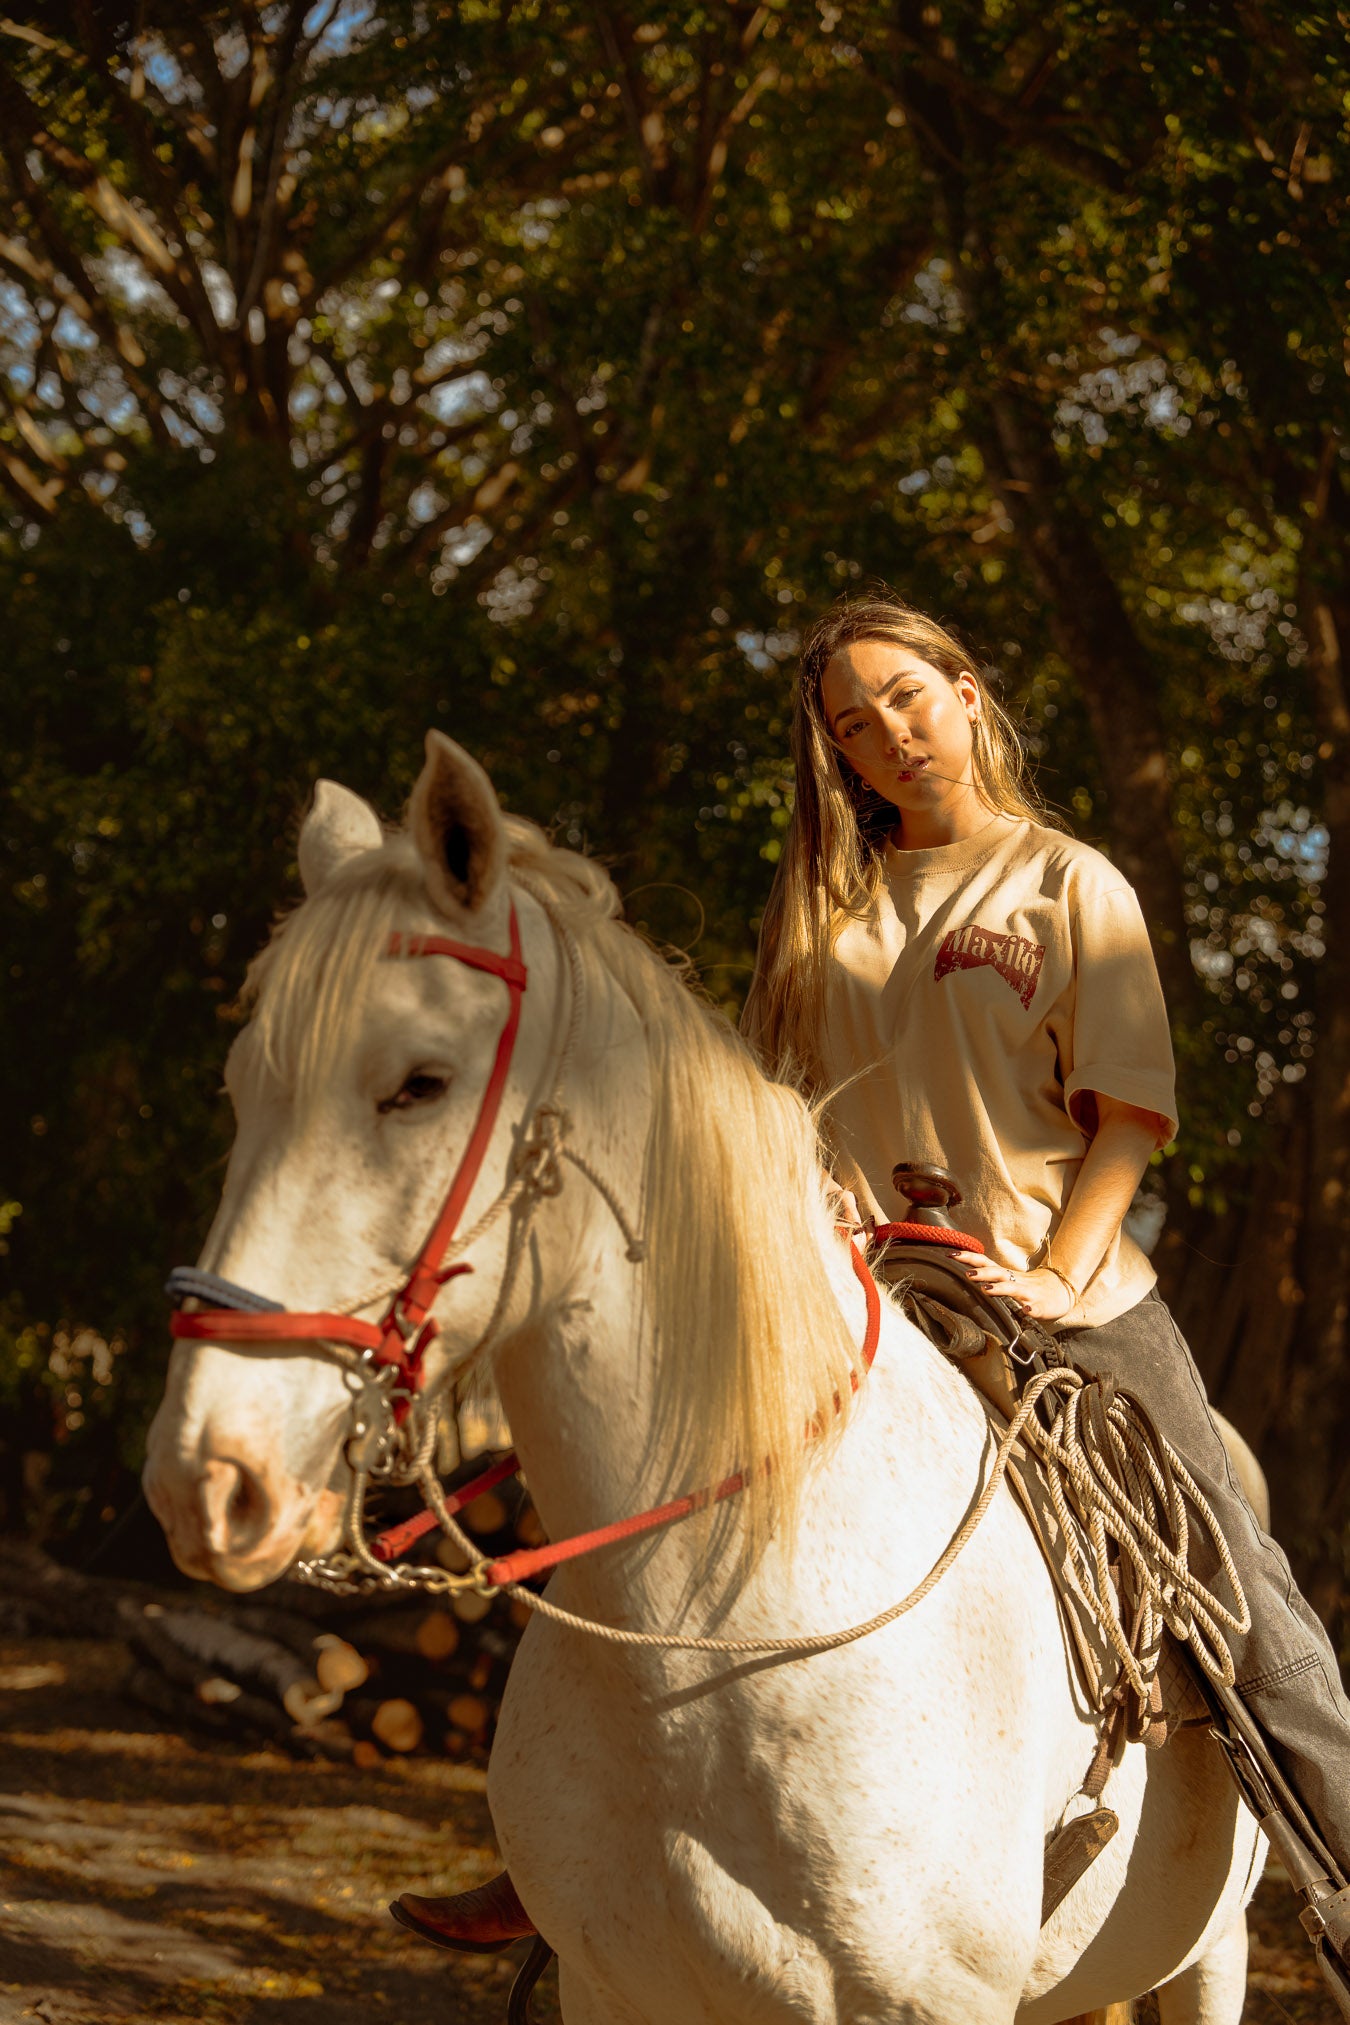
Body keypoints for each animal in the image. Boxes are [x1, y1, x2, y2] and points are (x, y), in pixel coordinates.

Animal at [147, 737, 1271, 2016]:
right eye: (244, 1083)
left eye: (418, 1084)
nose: (209, 1476)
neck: (713, 1637)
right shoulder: (610, 1988)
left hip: (1215, 1952)